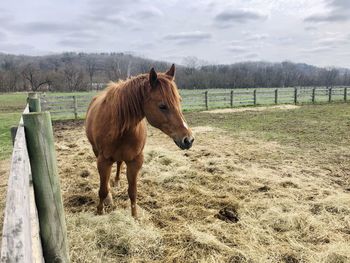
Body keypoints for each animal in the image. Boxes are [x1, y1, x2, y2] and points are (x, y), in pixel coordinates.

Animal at [85, 65, 194, 218]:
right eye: (162, 106)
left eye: (180, 100)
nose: (188, 139)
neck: (120, 127)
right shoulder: (103, 160)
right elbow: (103, 190)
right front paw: (100, 211)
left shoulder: (135, 161)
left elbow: (133, 192)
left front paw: (135, 216)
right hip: (96, 152)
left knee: (119, 164)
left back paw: (117, 182)